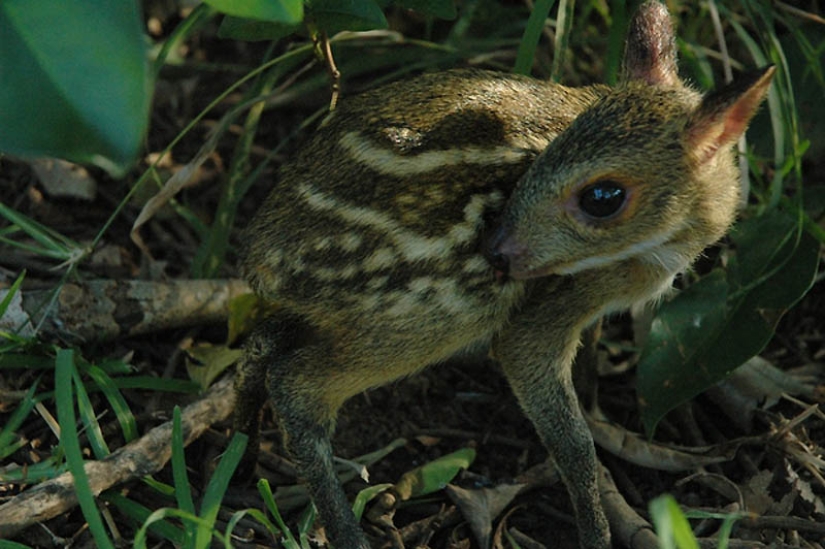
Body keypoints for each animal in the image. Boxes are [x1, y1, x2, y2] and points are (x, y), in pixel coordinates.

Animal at [232, 2, 772, 544]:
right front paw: (596, 533)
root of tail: (260, 256)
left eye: (603, 197)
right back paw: (345, 532)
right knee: (296, 386)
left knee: (265, 340)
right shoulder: (545, 309)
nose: (496, 250)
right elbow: (573, 446)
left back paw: (241, 463)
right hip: (429, 312)